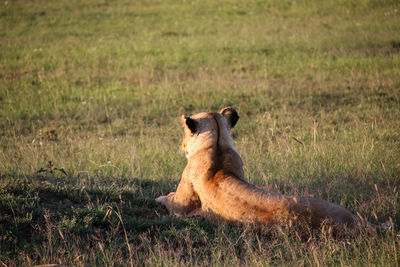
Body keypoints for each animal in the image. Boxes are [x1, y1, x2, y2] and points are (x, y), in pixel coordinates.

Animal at [156, 108, 390, 231]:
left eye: (184, 134)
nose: (182, 144)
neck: (217, 145)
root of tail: (356, 223)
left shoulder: (182, 205)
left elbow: (169, 199)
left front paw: (159, 197)